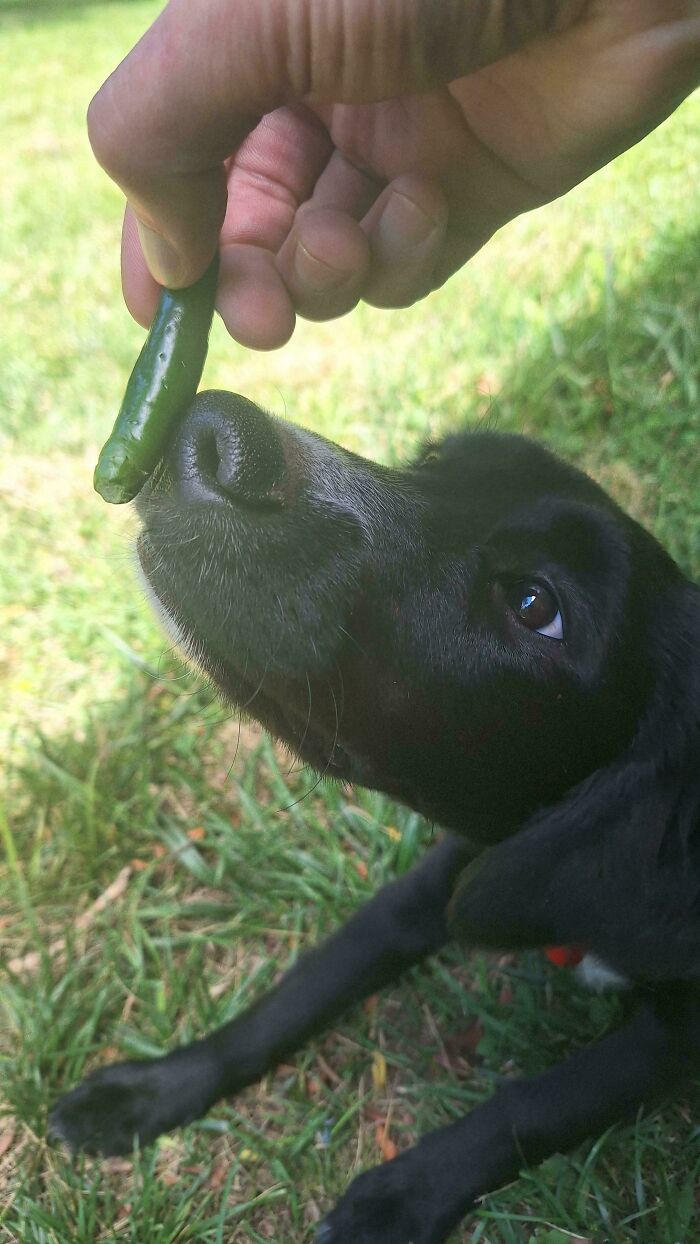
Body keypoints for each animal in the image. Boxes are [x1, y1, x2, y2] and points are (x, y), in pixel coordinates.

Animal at [50, 390, 700, 1244]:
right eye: (434, 463)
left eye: (536, 605)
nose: (213, 428)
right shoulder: (439, 880)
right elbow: (304, 983)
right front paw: (151, 1090)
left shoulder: (678, 1034)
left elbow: (535, 1103)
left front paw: (393, 1202)